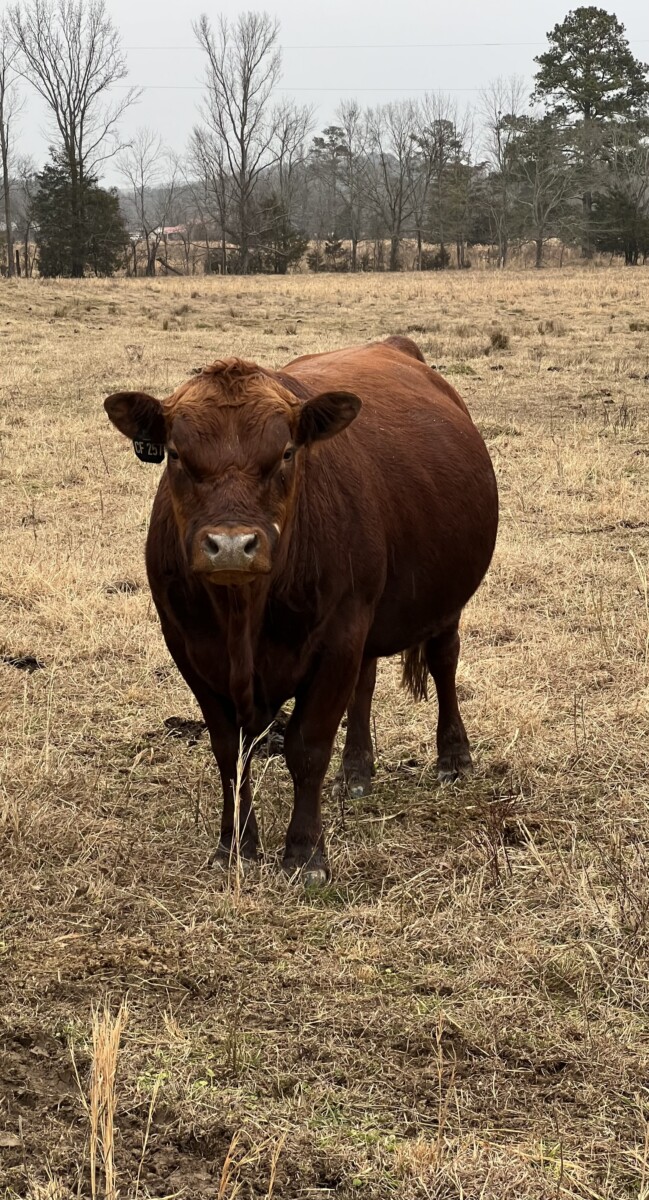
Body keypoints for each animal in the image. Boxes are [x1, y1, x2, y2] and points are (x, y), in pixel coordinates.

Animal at [104, 336, 498, 884]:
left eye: (287, 452)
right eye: (177, 455)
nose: (231, 546)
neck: (244, 619)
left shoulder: (338, 639)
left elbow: (307, 748)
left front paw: (306, 854)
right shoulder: (189, 648)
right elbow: (229, 752)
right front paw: (235, 846)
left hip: (441, 604)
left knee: (444, 663)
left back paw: (454, 757)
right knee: (365, 684)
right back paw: (356, 771)